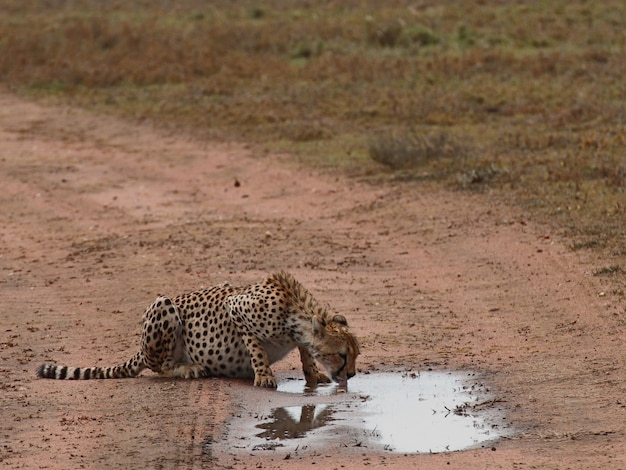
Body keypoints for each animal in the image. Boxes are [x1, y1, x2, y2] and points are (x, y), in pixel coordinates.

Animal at [36, 270, 358, 388]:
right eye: (342, 355)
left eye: (356, 355)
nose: (353, 374)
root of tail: (140, 350)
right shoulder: (235, 306)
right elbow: (255, 348)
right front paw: (263, 375)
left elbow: (306, 350)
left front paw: (312, 373)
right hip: (163, 305)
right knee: (160, 366)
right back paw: (187, 368)